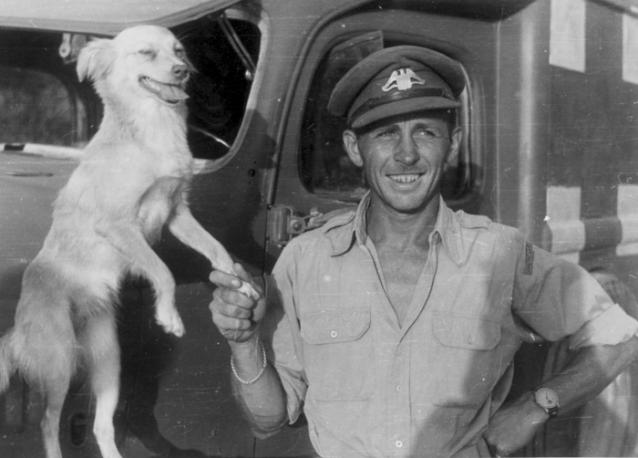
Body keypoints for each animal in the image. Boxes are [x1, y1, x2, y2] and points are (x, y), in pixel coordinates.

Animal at [0, 25, 257, 458]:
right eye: (146, 53)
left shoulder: (177, 213)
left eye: (179, 51)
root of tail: (18, 329)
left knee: (102, 425)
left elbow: (216, 249)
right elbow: (163, 270)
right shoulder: (119, 226)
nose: (183, 72)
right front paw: (169, 316)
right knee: (48, 422)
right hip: (60, 360)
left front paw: (240, 283)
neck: (151, 128)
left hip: (109, 363)